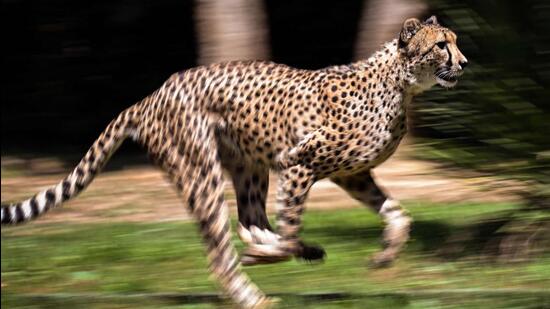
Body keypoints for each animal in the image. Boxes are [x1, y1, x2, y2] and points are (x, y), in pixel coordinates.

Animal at [2, 15, 470, 306]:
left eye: (455, 42)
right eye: (441, 45)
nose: (464, 63)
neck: (400, 85)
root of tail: (153, 94)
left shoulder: (351, 174)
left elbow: (398, 213)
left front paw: (385, 255)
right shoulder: (298, 163)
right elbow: (290, 228)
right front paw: (277, 253)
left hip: (249, 167)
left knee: (249, 221)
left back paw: (280, 252)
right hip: (203, 172)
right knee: (223, 250)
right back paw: (255, 294)